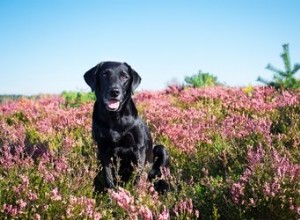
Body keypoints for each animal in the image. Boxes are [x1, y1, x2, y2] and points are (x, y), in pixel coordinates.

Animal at [83, 61, 170, 192]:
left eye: (124, 76)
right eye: (104, 74)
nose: (114, 91)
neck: (114, 118)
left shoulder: (139, 149)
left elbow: (137, 176)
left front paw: (134, 193)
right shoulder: (103, 149)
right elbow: (108, 176)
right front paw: (112, 194)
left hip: (161, 150)